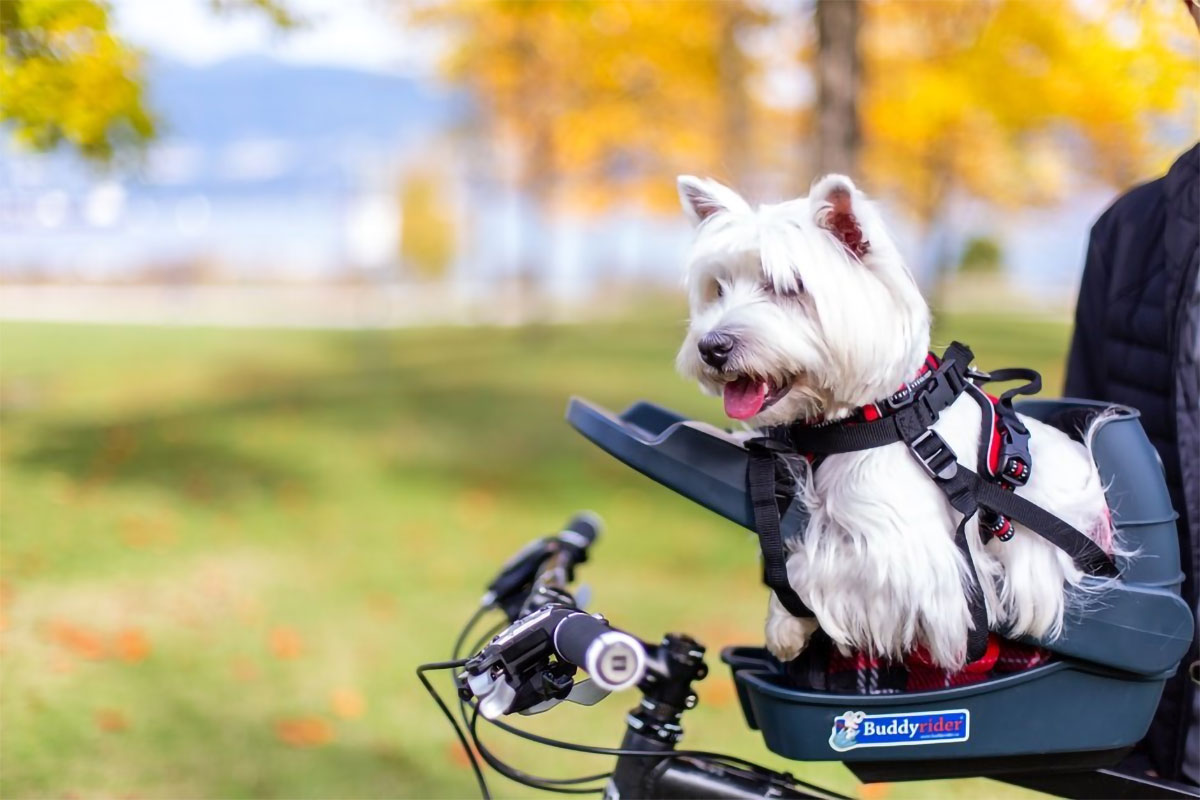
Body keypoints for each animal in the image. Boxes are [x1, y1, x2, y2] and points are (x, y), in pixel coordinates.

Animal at [676, 173, 1113, 671]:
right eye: (718, 288)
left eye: (788, 287)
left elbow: (814, 563)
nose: (711, 347)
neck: (878, 415)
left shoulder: (920, 567)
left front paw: (785, 625)